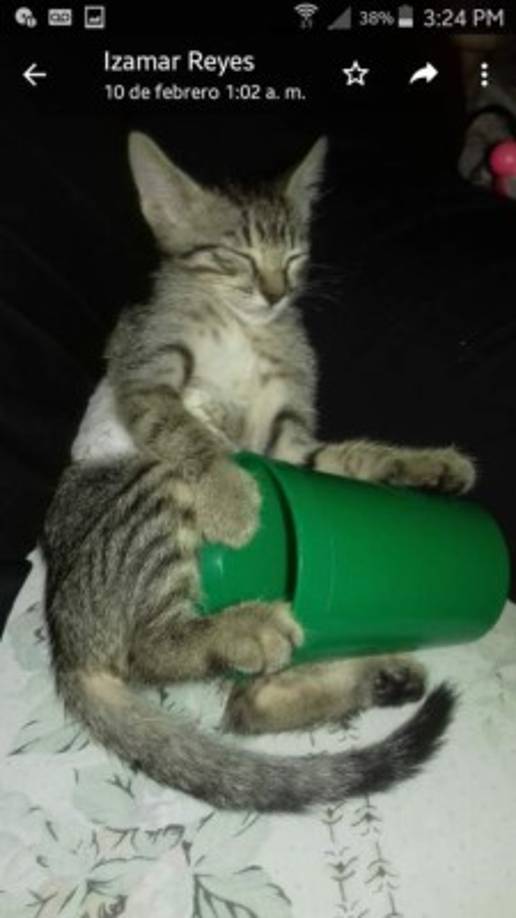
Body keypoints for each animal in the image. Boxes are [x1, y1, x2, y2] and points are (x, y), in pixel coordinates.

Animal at [42, 132, 475, 812]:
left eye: (293, 257)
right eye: (235, 257)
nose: (275, 294)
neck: (244, 327)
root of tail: (64, 638)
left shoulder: (284, 446)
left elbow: (343, 458)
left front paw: (426, 466)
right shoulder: (143, 373)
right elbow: (184, 426)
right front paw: (229, 494)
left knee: (245, 709)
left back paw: (377, 676)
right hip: (148, 489)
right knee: (147, 649)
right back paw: (245, 627)